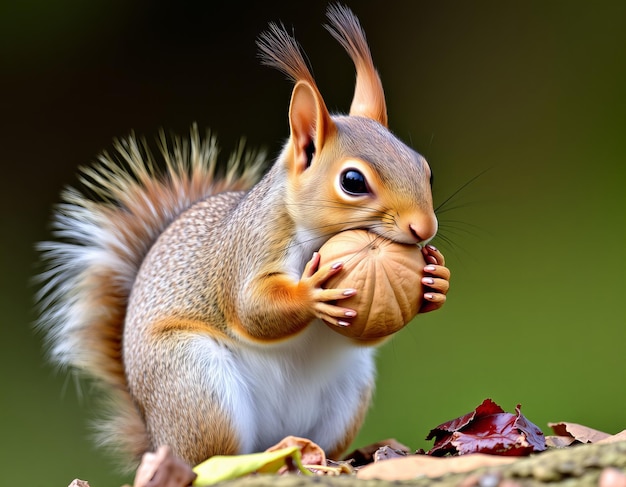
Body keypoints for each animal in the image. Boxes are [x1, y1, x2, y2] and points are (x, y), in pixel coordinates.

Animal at [36, 2, 448, 468]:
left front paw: (436, 280)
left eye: (423, 167)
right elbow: (250, 308)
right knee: (211, 458)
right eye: (353, 181)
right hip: (196, 385)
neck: (310, 232)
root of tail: (157, 439)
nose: (424, 228)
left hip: (346, 391)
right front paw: (310, 293)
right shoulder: (249, 251)